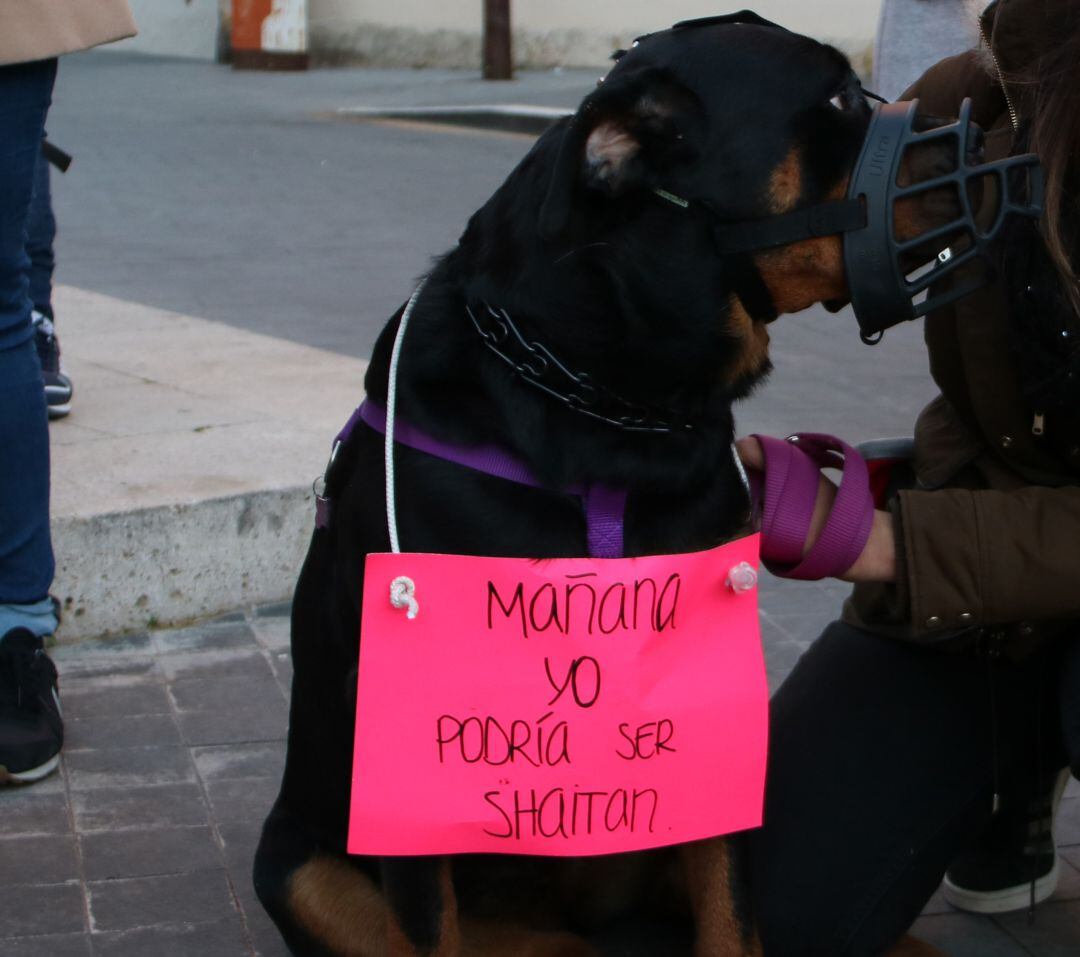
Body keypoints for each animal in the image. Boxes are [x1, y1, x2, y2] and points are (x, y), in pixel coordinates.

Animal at [257, 14, 950, 957]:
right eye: (840, 97)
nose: (995, 121)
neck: (610, 410)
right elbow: (427, 921)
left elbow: (733, 913)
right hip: (299, 862)